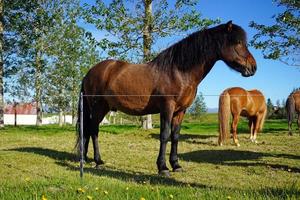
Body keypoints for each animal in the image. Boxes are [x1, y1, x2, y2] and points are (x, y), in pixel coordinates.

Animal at [76, 21, 256, 176]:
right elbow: (164, 135)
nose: (253, 67)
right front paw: (162, 167)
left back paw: (84, 159)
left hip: (102, 108)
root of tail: (89, 73)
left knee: (88, 130)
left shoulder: (180, 111)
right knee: (93, 130)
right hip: (98, 107)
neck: (178, 71)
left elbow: (175, 136)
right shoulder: (167, 108)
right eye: (238, 42)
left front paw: (176, 165)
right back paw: (98, 161)